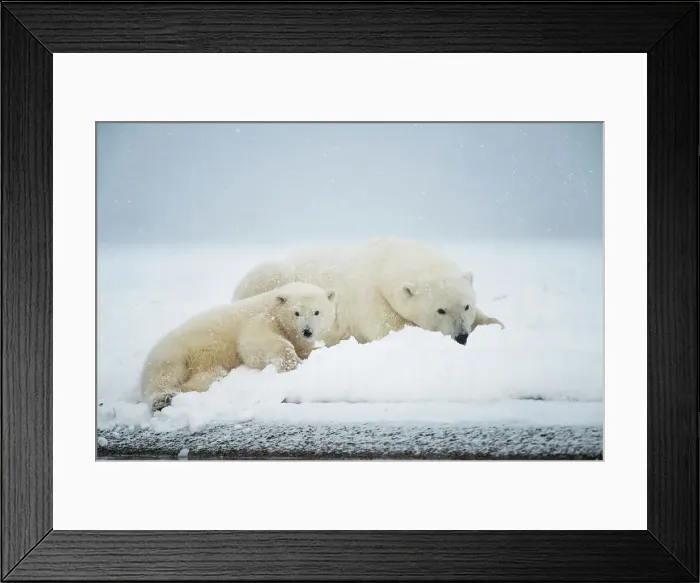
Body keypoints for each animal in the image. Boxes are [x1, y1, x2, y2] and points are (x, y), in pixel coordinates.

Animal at [141, 282, 336, 410]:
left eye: (316, 312)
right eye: (296, 313)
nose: (307, 331)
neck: (273, 305)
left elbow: (304, 347)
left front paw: (316, 350)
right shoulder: (262, 317)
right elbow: (253, 343)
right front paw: (291, 362)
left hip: (203, 363)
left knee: (211, 374)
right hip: (174, 351)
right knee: (166, 372)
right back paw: (163, 398)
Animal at [232, 236, 504, 348]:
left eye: (466, 306)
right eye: (440, 310)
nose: (462, 336)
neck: (386, 258)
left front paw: (495, 324)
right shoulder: (367, 297)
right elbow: (388, 327)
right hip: (274, 275)